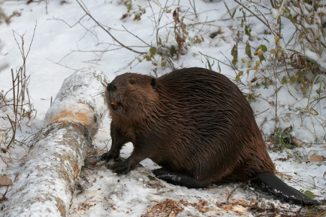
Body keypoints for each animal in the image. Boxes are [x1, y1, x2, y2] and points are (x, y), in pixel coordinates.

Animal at [101, 67, 318, 205]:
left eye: (132, 81)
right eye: (117, 77)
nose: (111, 86)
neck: (161, 107)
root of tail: (263, 169)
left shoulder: (157, 129)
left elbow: (144, 149)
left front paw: (124, 165)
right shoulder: (120, 124)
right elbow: (116, 138)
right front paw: (107, 155)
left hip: (218, 148)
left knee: (203, 180)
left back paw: (164, 173)